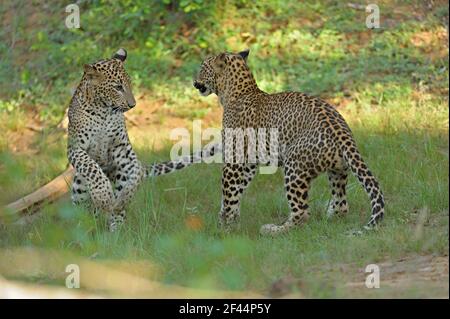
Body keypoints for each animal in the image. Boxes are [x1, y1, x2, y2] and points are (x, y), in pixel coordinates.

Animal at [67, 48, 220, 232]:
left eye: (129, 84)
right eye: (117, 87)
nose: (132, 105)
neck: (103, 111)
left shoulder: (122, 148)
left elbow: (135, 174)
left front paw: (124, 197)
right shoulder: (75, 148)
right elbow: (92, 169)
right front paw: (103, 195)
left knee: (115, 210)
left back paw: (116, 231)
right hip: (79, 187)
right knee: (84, 208)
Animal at [192, 49, 384, 235]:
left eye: (202, 68)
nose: (194, 82)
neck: (236, 91)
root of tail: (342, 132)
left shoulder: (235, 159)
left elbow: (229, 194)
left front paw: (225, 228)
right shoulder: (249, 162)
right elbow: (235, 192)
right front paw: (228, 222)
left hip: (294, 165)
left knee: (302, 213)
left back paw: (273, 230)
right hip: (338, 170)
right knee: (341, 206)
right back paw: (326, 217)